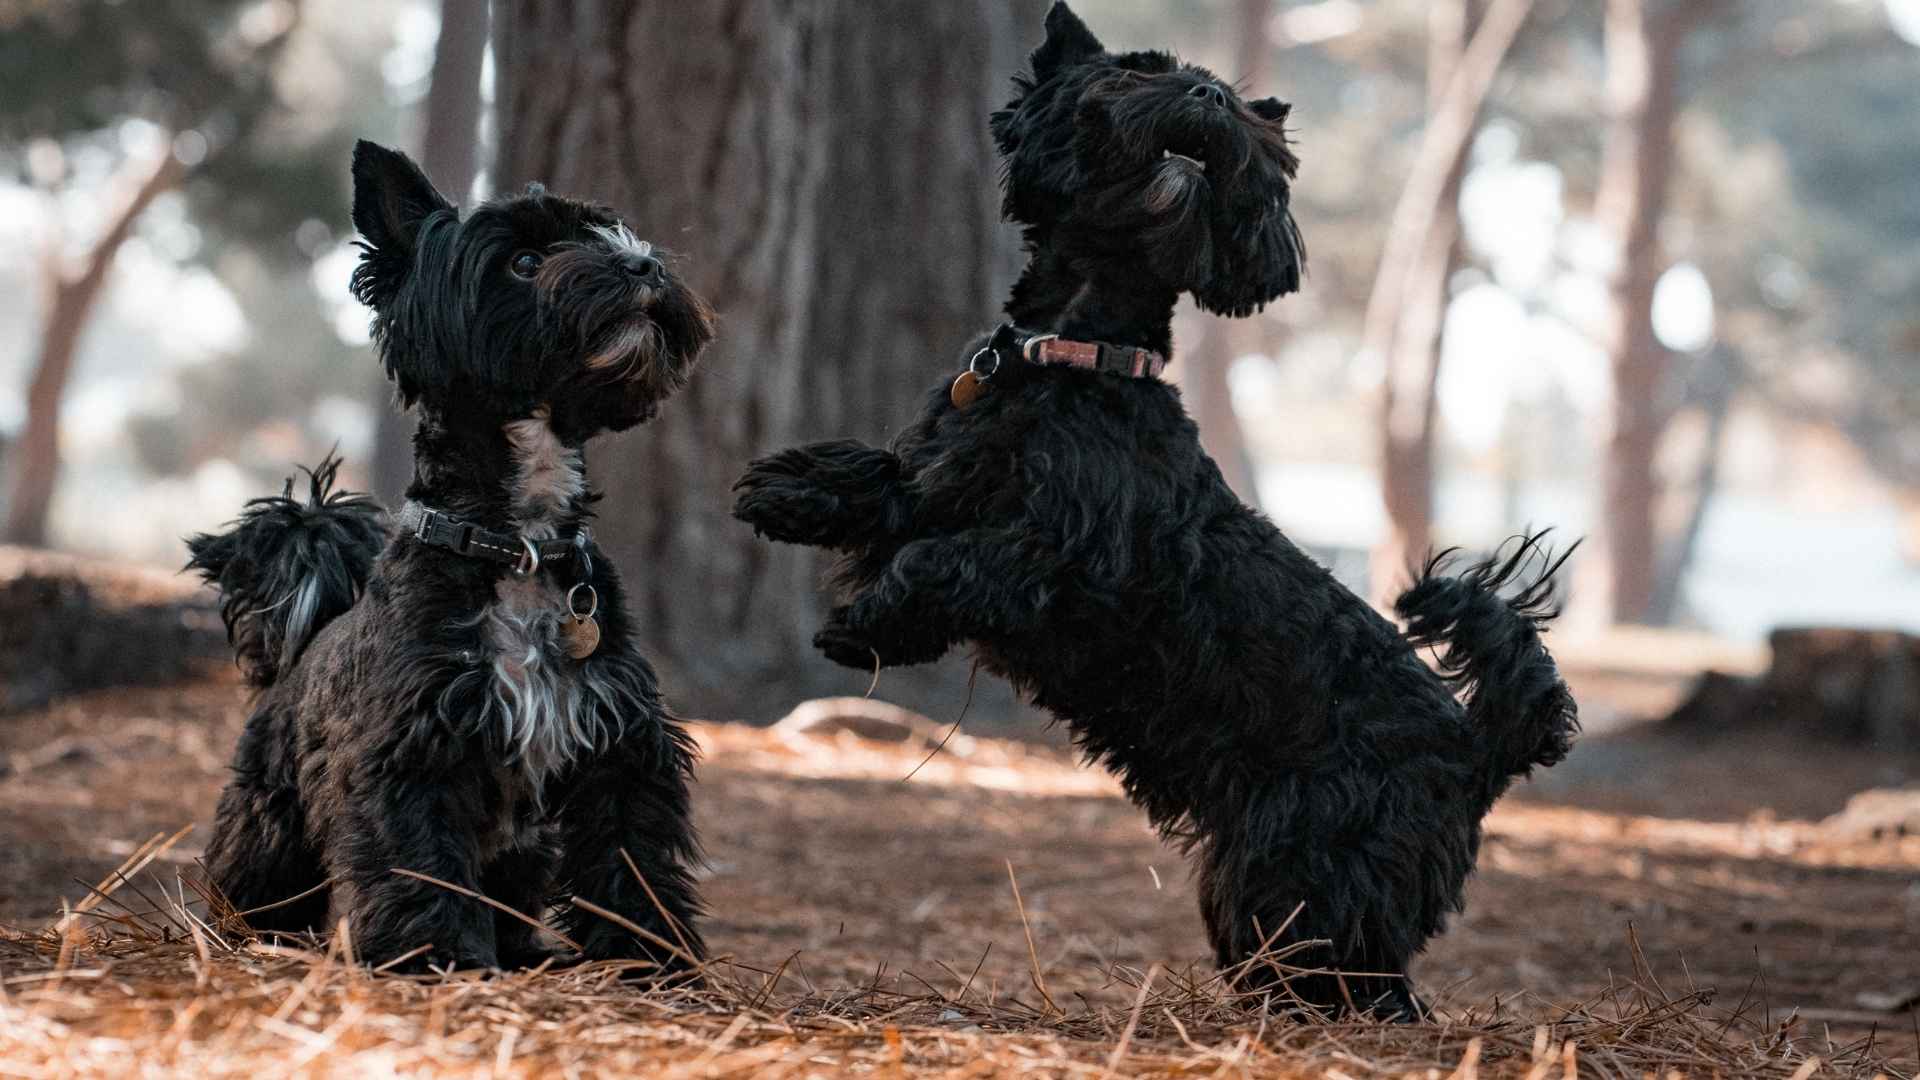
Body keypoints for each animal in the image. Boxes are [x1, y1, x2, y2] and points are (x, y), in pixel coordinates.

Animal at [187, 138, 718, 972]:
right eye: (526, 260)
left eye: (611, 232)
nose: (644, 265)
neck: (521, 549)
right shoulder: (412, 752)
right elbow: (421, 862)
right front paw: (436, 958)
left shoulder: (623, 749)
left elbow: (632, 859)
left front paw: (650, 961)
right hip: (269, 821)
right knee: (256, 876)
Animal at [729, 4, 1574, 1014]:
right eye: (1137, 69)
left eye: (1233, 107)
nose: (1208, 92)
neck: (1073, 356)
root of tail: (1476, 746)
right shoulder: (945, 480)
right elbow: (882, 484)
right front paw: (786, 490)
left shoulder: (1063, 558)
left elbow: (939, 562)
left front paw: (860, 626)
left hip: (1302, 866)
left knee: (1360, 977)